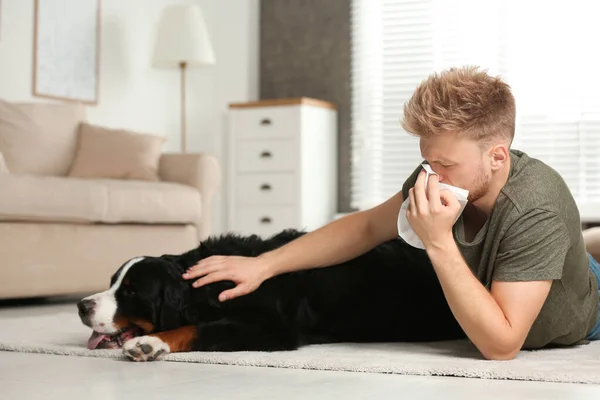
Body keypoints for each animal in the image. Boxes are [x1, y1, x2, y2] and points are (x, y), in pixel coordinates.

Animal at [78, 228, 464, 362]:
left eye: (131, 291)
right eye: (113, 282)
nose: (82, 306)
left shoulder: (273, 328)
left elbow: (197, 328)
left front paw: (151, 343)